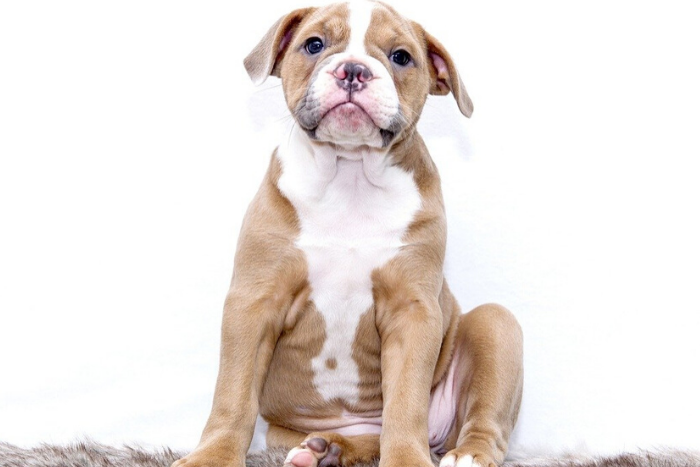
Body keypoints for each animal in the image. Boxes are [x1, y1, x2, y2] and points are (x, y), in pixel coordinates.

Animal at [173, 2, 523, 467]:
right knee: (363, 439)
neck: (349, 174)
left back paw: (468, 454)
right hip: (286, 430)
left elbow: (405, 403)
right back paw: (324, 449)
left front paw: (407, 459)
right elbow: (233, 392)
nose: (353, 69)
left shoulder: (412, 310)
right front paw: (212, 456)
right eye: (314, 44)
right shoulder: (253, 301)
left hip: (496, 326)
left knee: (481, 420)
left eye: (400, 56)